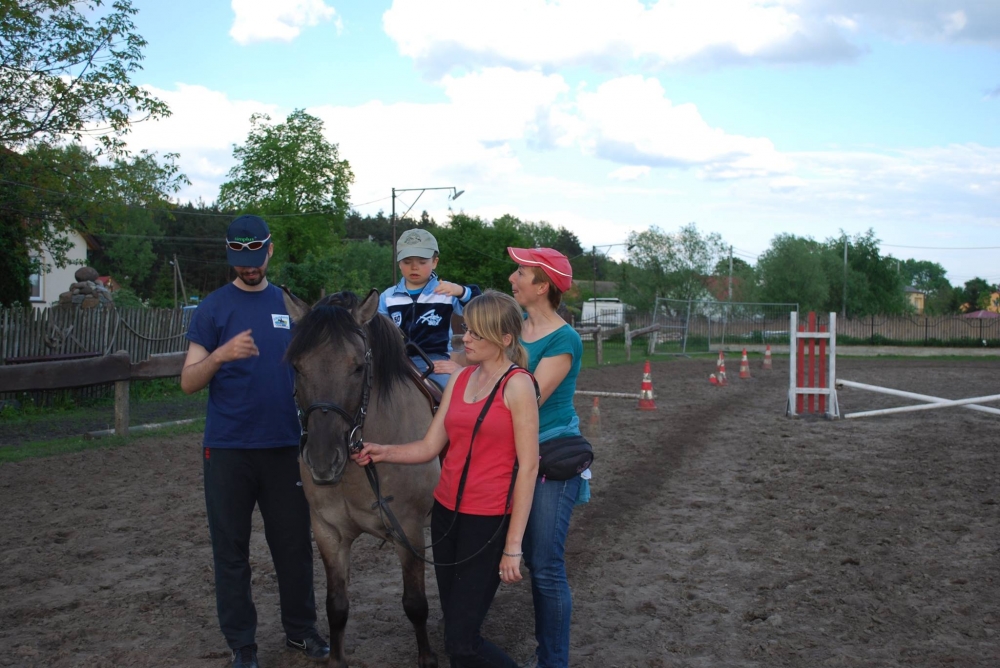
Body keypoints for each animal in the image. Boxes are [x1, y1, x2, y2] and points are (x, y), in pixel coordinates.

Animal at [283, 288, 441, 668]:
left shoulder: (408, 530)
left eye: (357, 367)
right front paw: (336, 660)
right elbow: (336, 607)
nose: (323, 460)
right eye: (297, 366)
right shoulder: (328, 532)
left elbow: (415, 604)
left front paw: (427, 658)